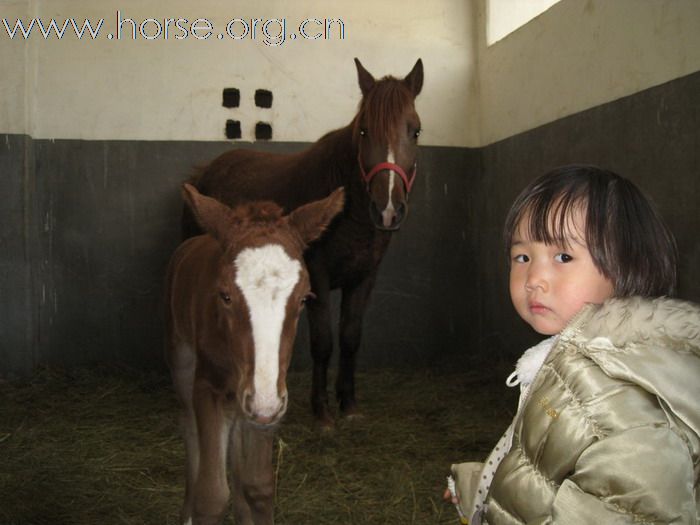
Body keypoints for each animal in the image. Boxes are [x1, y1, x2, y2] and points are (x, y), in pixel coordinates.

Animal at [167, 185, 348, 524]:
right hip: (181, 356)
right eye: (224, 295)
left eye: (304, 298)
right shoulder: (209, 387)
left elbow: (260, 487)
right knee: (188, 425)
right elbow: (212, 495)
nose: (261, 402)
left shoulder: (272, 396)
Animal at [183, 58, 424, 426]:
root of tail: (205, 170)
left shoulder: (364, 277)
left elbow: (350, 337)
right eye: (365, 131)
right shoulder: (318, 277)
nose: (387, 210)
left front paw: (348, 404)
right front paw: (321, 411)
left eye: (415, 131)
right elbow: (323, 342)